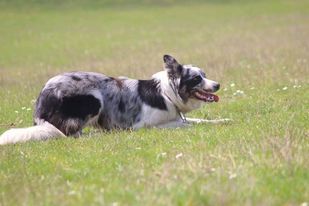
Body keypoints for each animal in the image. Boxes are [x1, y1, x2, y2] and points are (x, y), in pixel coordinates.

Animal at [0, 54, 226, 145]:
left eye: (205, 75)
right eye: (196, 79)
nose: (217, 85)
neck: (168, 93)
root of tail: (43, 97)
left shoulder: (179, 117)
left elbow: (200, 121)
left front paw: (223, 121)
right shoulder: (142, 126)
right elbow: (185, 125)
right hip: (93, 99)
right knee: (70, 133)